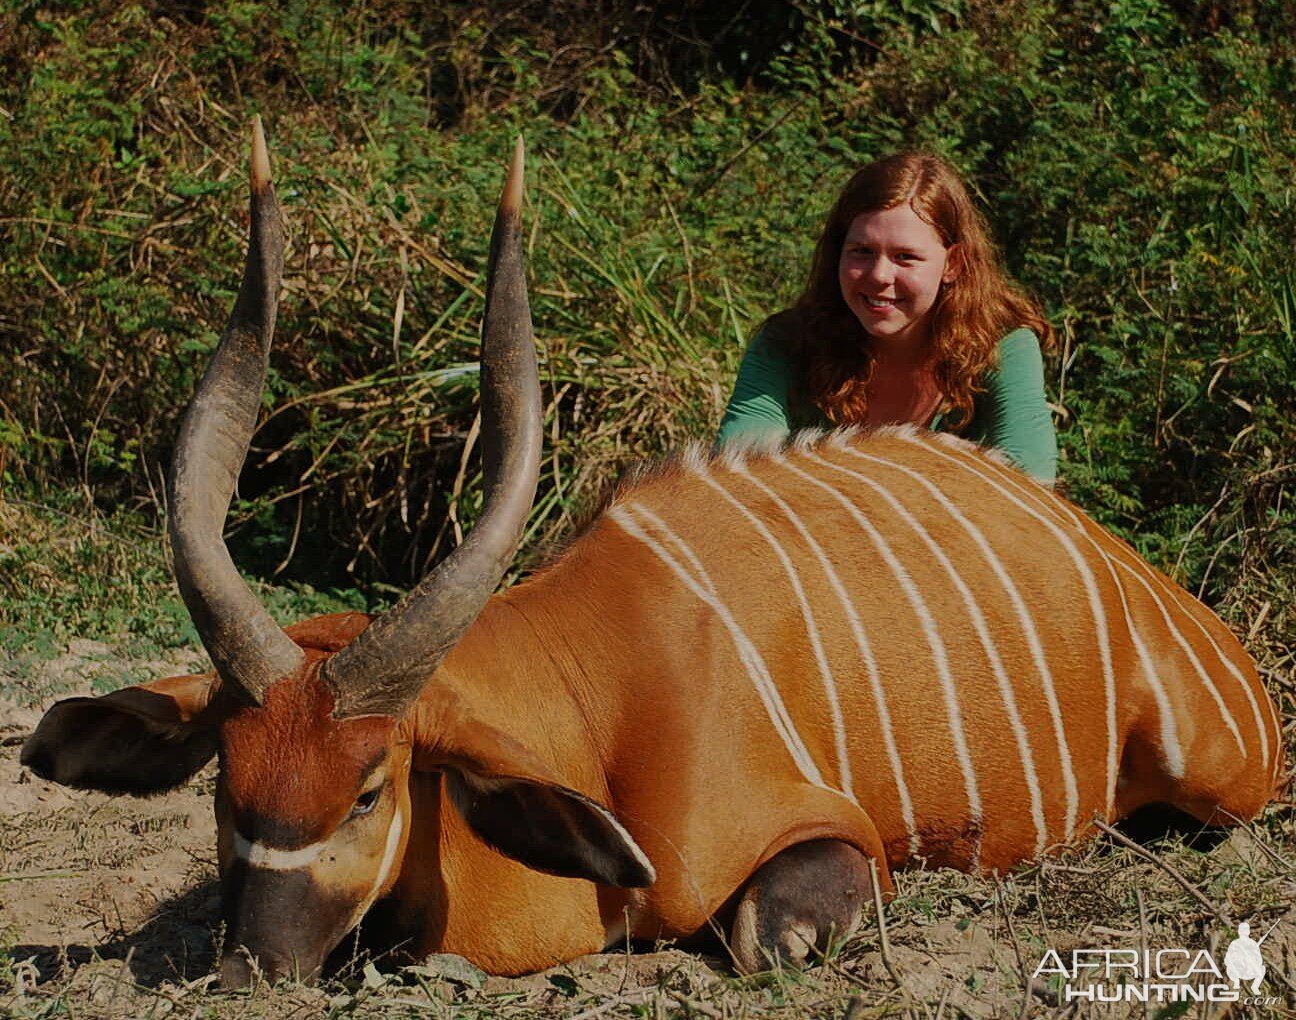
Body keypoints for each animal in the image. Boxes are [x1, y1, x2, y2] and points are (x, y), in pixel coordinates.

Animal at [20, 119, 1285, 979]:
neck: (599, 692)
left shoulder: (830, 844)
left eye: (371, 789)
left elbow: (768, 932)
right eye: (226, 780)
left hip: (1220, 775)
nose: (253, 970)